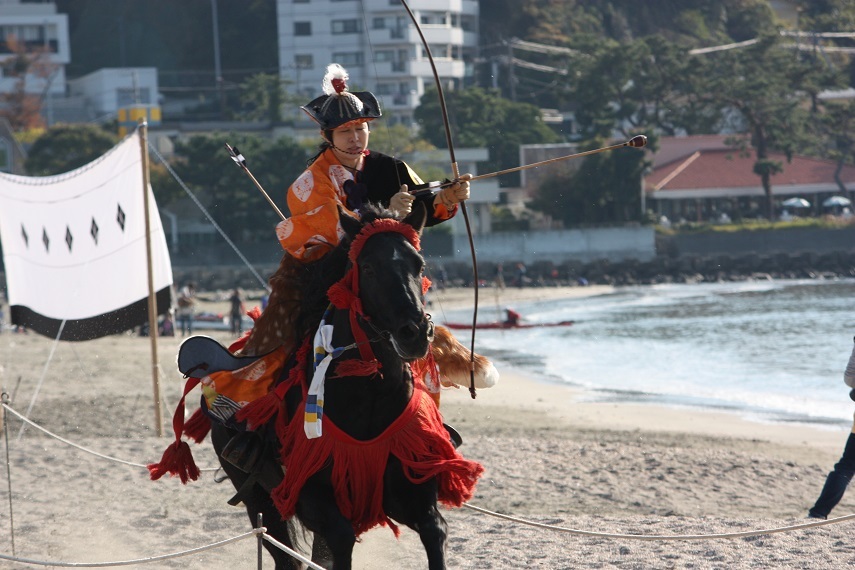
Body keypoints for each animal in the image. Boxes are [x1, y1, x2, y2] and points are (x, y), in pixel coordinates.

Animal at [209, 205, 482, 568]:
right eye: (367, 267)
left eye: (419, 265)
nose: (414, 333)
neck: (367, 396)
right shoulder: (307, 493)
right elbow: (340, 536)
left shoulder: (409, 487)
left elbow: (434, 529)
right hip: (257, 498)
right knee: (286, 554)